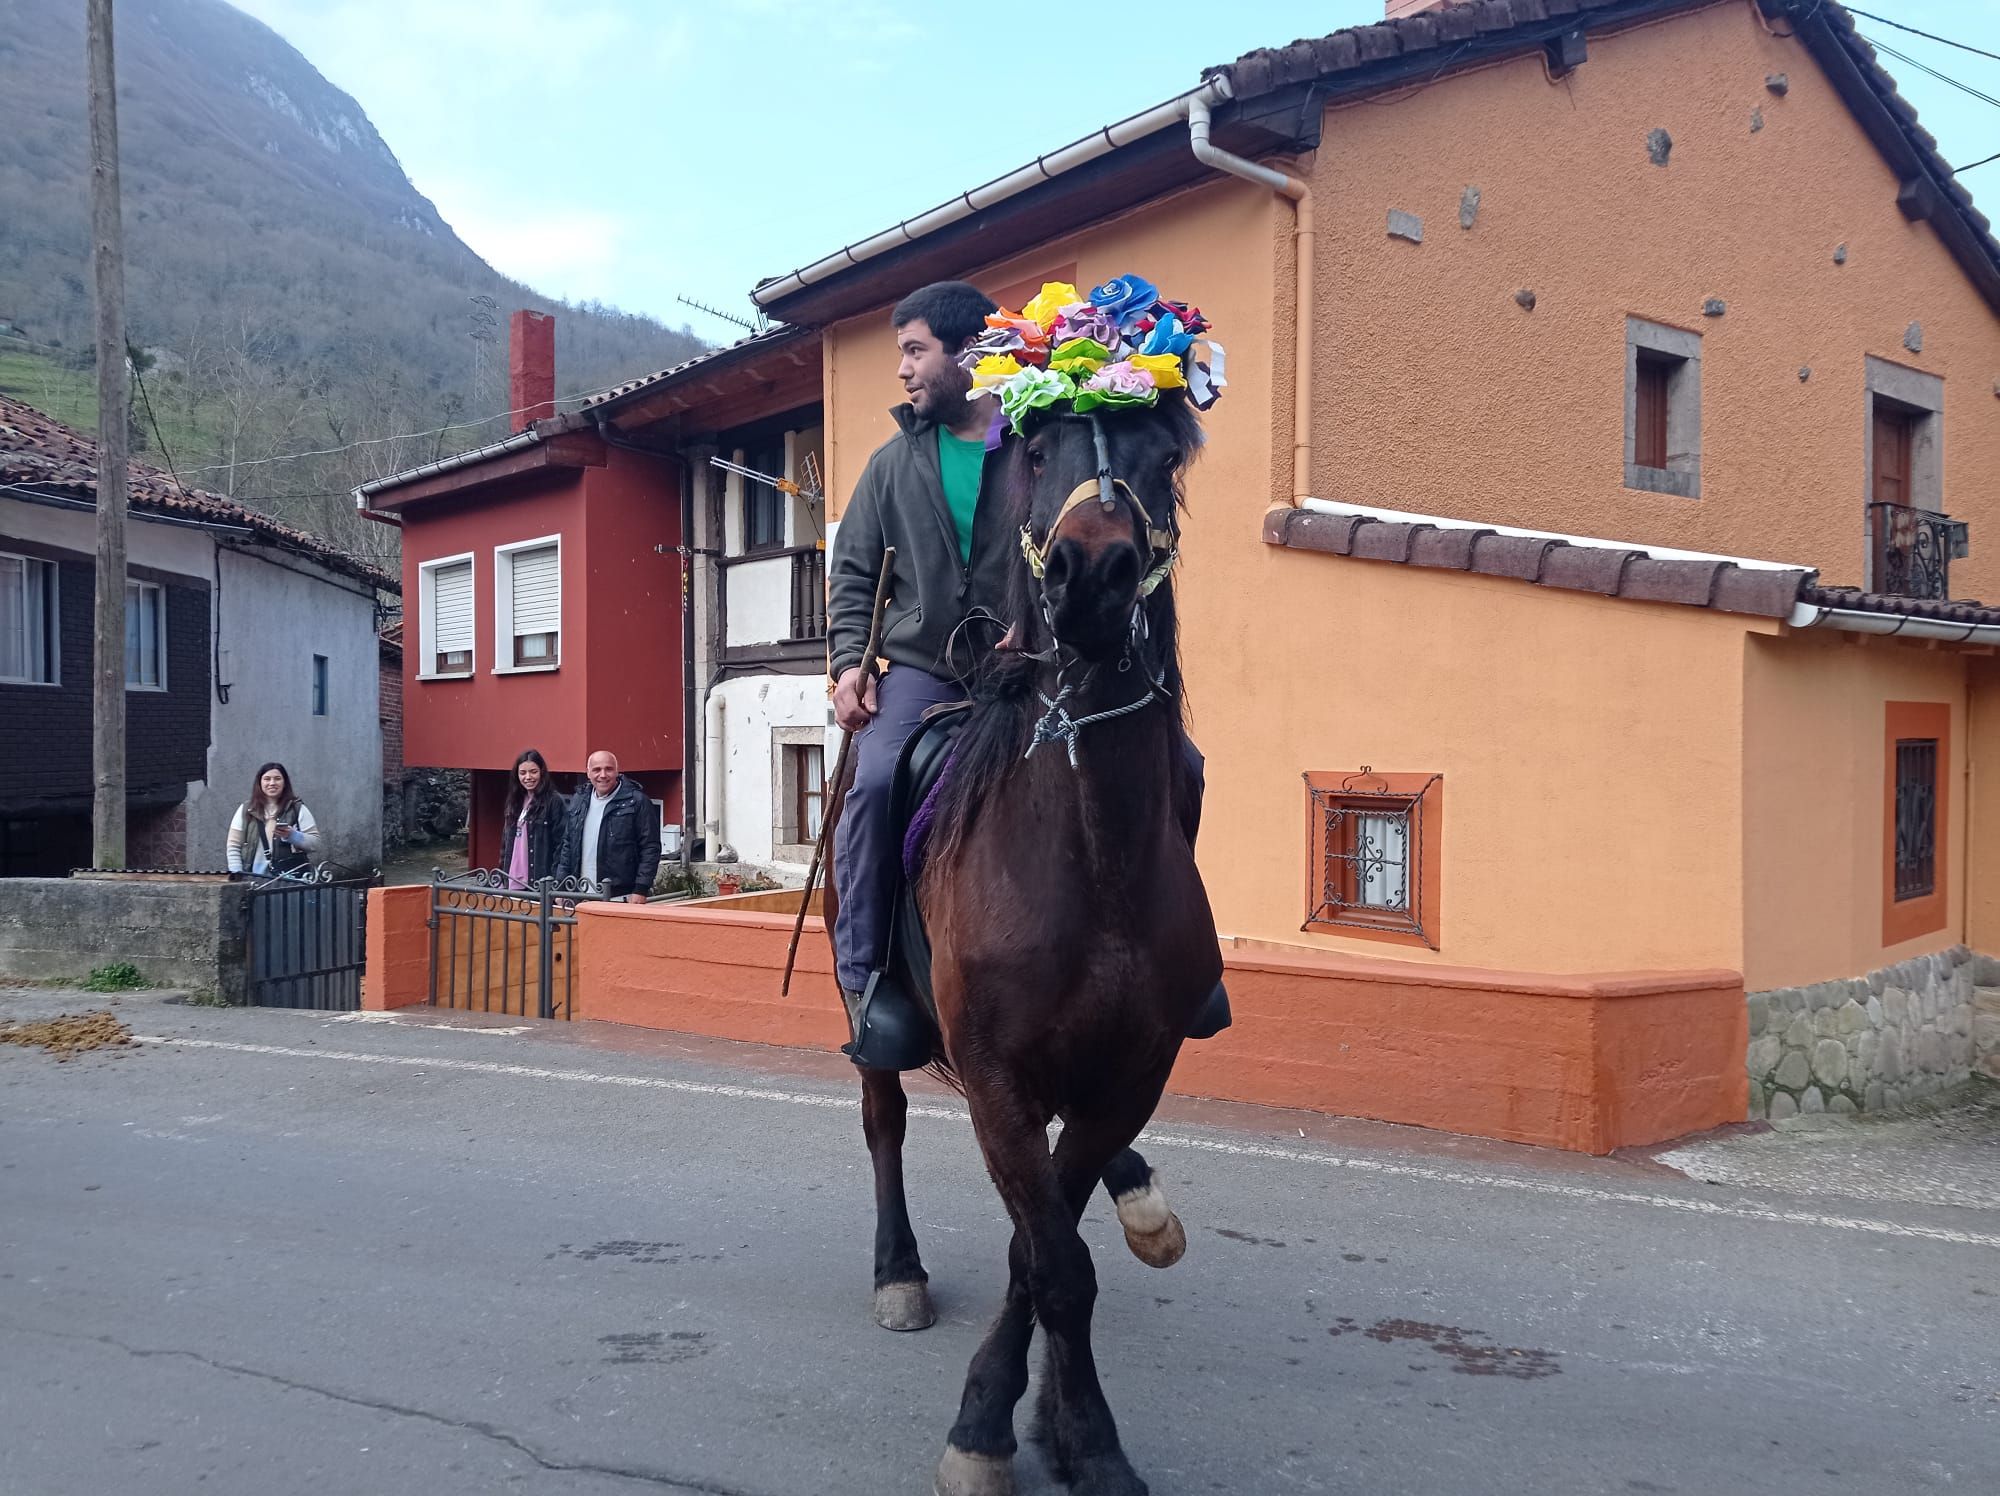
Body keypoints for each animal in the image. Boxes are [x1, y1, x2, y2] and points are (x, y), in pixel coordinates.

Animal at [824, 394, 1216, 1496]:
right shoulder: (997, 1076)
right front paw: (1003, 1428)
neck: (1091, 858)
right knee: (883, 1125)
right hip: (878, 1027)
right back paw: (897, 1269)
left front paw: (1064, 1428)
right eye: (1038, 450)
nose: (1092, 572)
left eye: (1164, 457)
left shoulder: (1126, 1075)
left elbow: (1042, 1252)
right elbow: (1051, 1265)